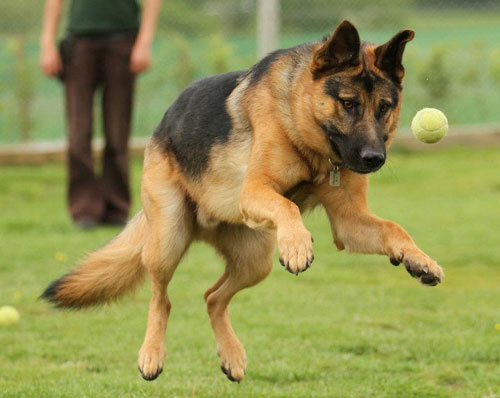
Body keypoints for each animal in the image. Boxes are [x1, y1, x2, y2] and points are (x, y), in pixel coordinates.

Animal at [42, 21, 442, 382]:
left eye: (384, 107)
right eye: (348, 103)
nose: (375, 158)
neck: (302, 126)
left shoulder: (350, 221)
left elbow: (394, 228)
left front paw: (419, 259)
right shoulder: (255, 191)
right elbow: (288, 206)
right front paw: (297, 244)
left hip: (255, 260)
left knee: (212, 296)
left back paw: (231, 357)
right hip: (168, 237)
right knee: (161, 298)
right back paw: (151, 356)